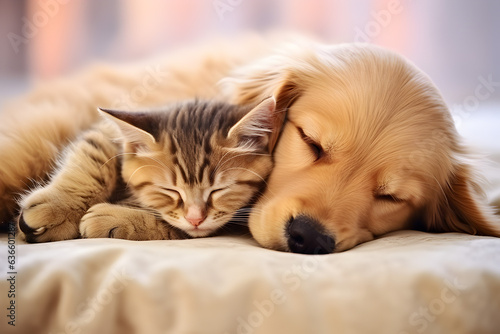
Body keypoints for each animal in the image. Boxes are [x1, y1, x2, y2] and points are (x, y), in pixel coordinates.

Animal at [17, 96, 280, 243]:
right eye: (169, 190)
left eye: (219, 190)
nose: (196, 219)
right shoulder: (105, 133)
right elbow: (93, 155)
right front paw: (59, 207)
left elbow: (175, 227)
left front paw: (113, 219)